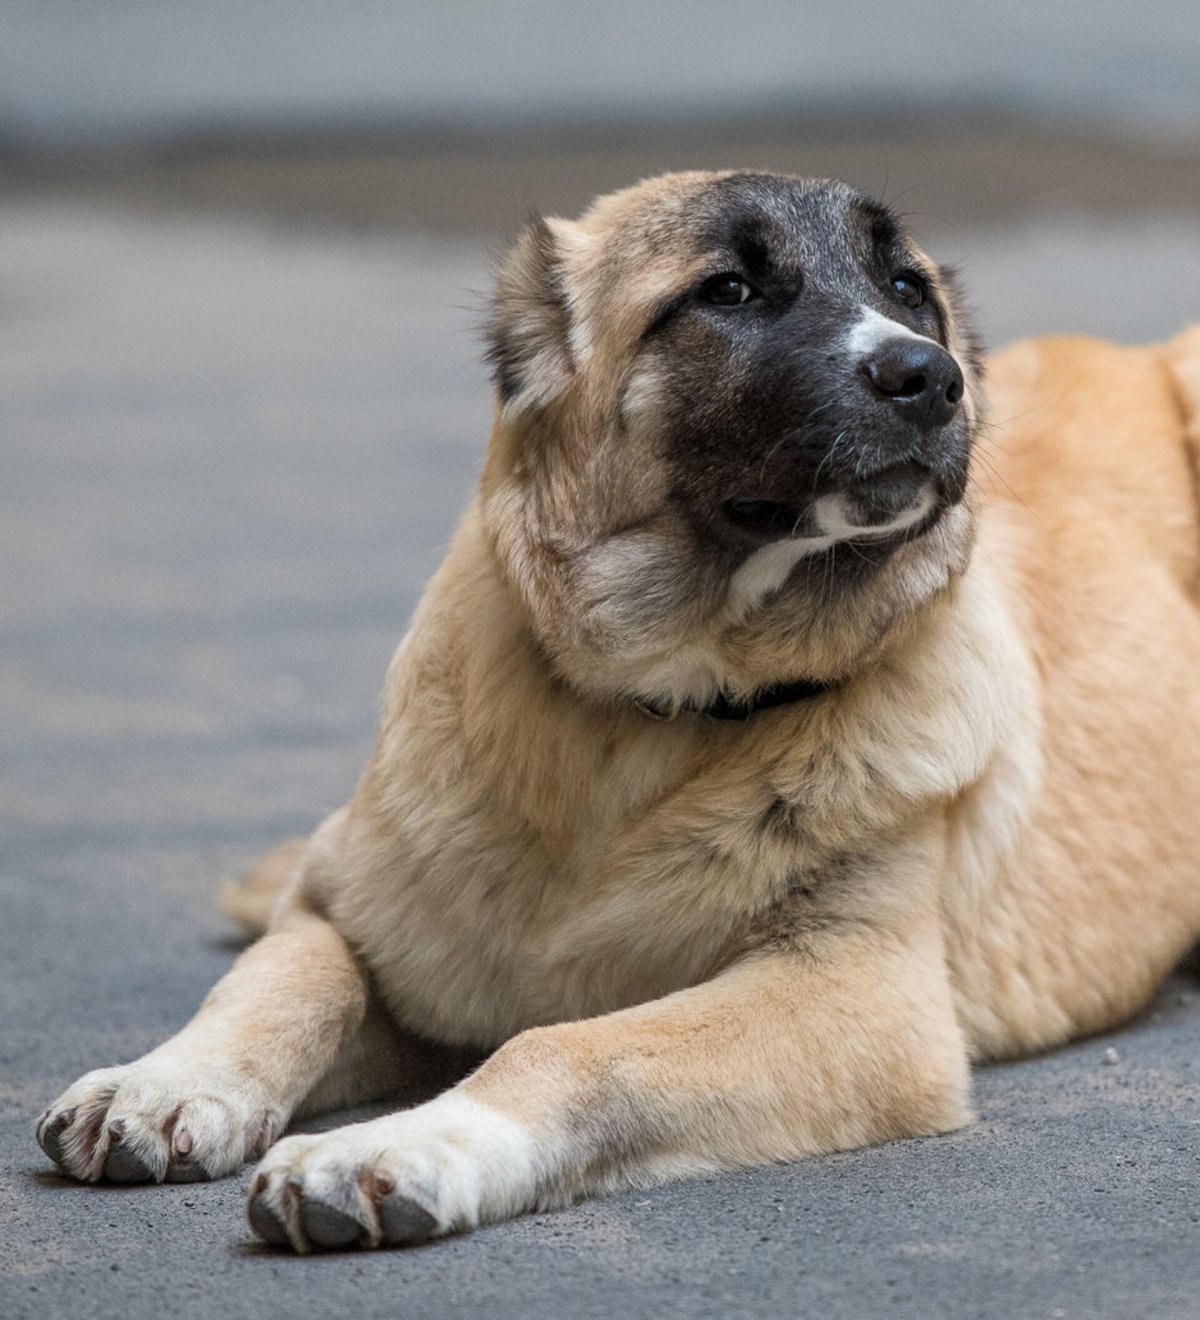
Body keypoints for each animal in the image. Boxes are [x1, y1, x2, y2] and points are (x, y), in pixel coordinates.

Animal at [32, 170, 1198, 1251]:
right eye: (727, 289)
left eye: (907, 288)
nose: (930, 377)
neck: (660, 712)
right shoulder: (349, 913)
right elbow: (275, 984)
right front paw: (162, 1082)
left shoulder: (858, 994)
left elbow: (568, 1046)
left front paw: (399, 1144)